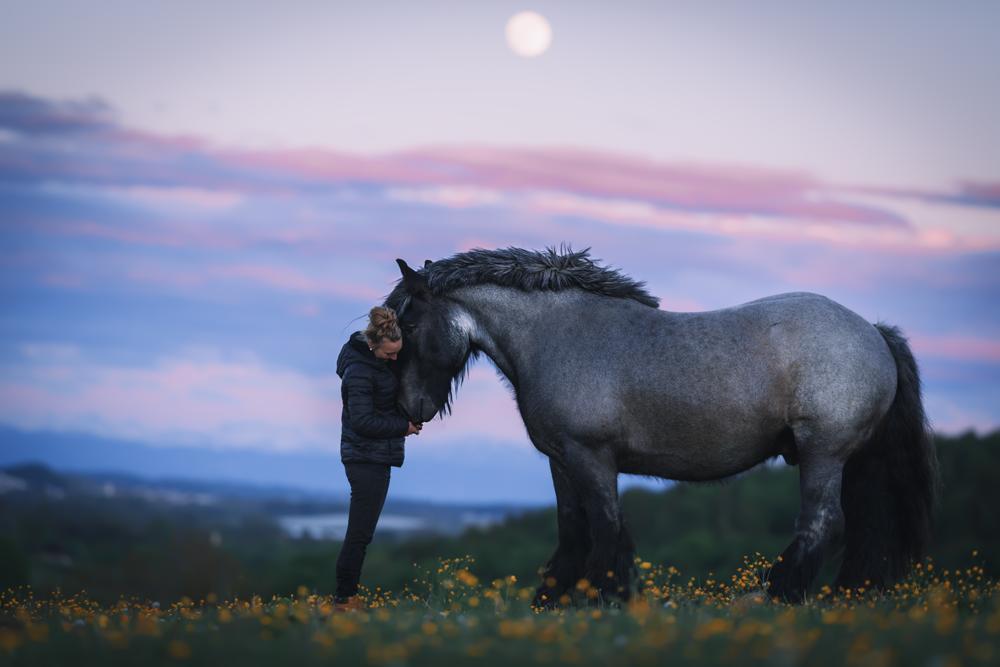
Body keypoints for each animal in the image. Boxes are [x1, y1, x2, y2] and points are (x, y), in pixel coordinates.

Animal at [382, 245, 936, 604]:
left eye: (407, 324)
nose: (409, 408)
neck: (554, 335)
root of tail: (873, 332)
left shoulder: (591, 457)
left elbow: (605, 528)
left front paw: (603, 600)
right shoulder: (562, 460)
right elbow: (574, 530)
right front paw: (554, 602)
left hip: (824, 453)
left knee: (822, 522)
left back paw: (775, 595)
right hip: (852, 461)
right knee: (863, 525)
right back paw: (846, 596)